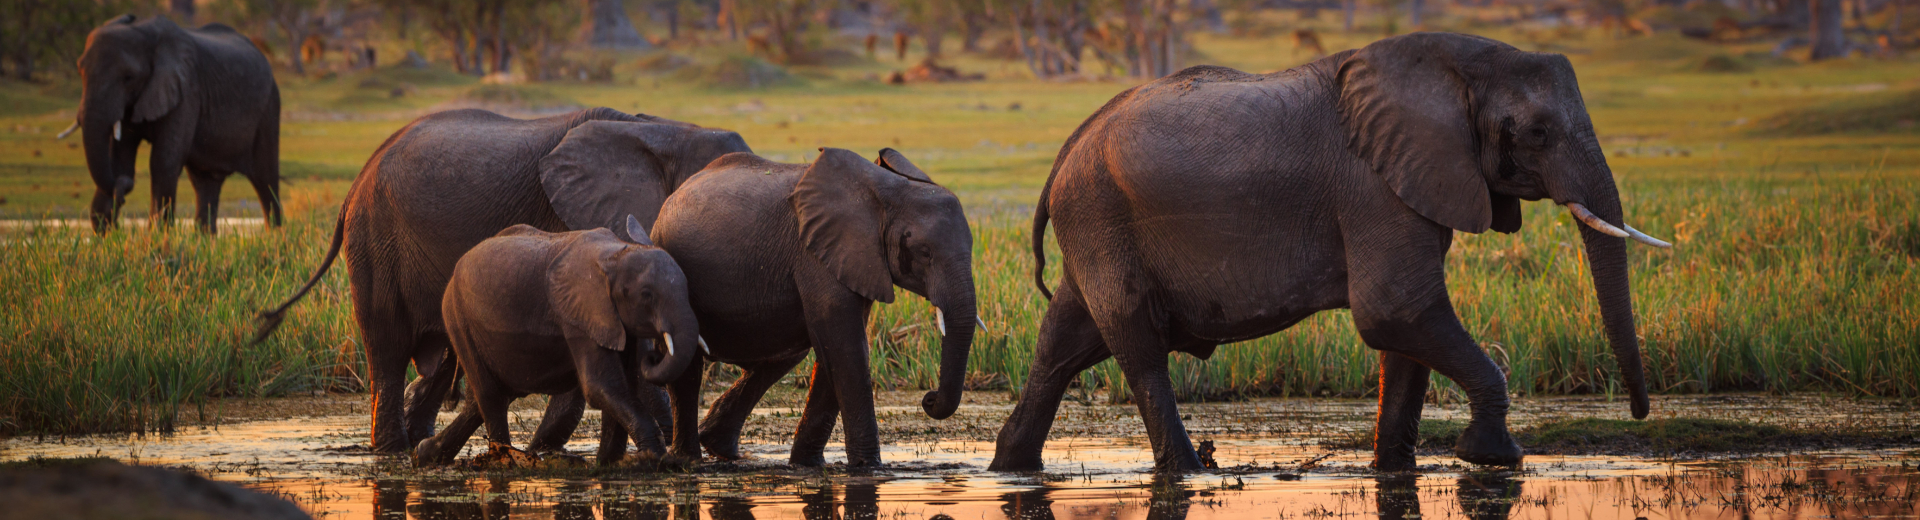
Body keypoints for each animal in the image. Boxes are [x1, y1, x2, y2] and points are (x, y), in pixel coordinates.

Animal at [67, 14, 282, 234]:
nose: (124, 191)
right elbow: (120, 160)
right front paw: (107, 235)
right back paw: (205, 240)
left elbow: (163, 162)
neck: (145, 31)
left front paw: (156, 237)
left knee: (265, 180)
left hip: (269, 108)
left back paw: (274, 237)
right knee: (206, 182)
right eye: (80, 71)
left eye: (128, 77)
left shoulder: (186, 91)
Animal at [416, 217, 702, 466]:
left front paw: (609, 463)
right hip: (457, 317)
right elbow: (601, 386)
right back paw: (503, 461)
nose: (655, 354)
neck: (616, 254)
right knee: (490, 395)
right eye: (646, 294)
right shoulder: (578, 316)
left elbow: (624, 385)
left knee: (489, 397)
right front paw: (653, 458)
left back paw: (425, 454)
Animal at [645, 147, 975, 468]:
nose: (929, 398)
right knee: (687, 365)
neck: (887, 191)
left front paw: (807, 465)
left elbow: (837, 348)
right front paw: (870, 468)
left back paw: (720, 447)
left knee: (784, 355)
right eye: (925, 252)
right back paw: (688, 460)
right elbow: (846, 347)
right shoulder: (816, 255)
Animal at [990, 30, 1666, 475]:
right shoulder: (1372, 184)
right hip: (1100, 216)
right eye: (1537, 133)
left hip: (1095, 225)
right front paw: (1492, 458)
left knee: (1063, 343)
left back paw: (1010, 467)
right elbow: (1395, 310)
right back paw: (1191, 471)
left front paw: (1394, 470)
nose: (1638, 412)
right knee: (1138, 348)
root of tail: (1067, 148)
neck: (1455, 67)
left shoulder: (1412, 180)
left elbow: (1404, 334)